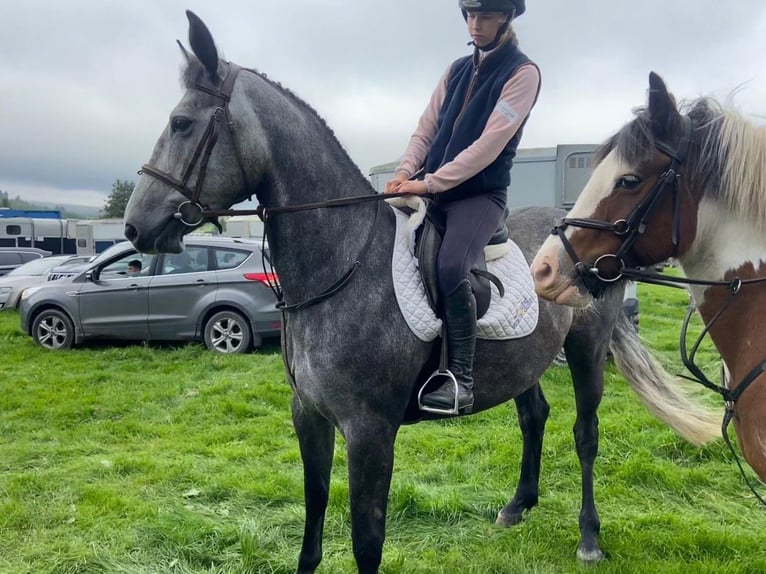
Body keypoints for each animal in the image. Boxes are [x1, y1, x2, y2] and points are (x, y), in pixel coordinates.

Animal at [123, 12, 724, 574]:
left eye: (180, 123)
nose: (135, 227)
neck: (343, 265)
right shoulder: (308, 416)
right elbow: (312, 519)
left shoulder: (369, 431)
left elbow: (367, 542)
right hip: (526, 360)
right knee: (534, 416)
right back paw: (517, 506)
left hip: (586, 351)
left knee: (585, 434)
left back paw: (589, 537)